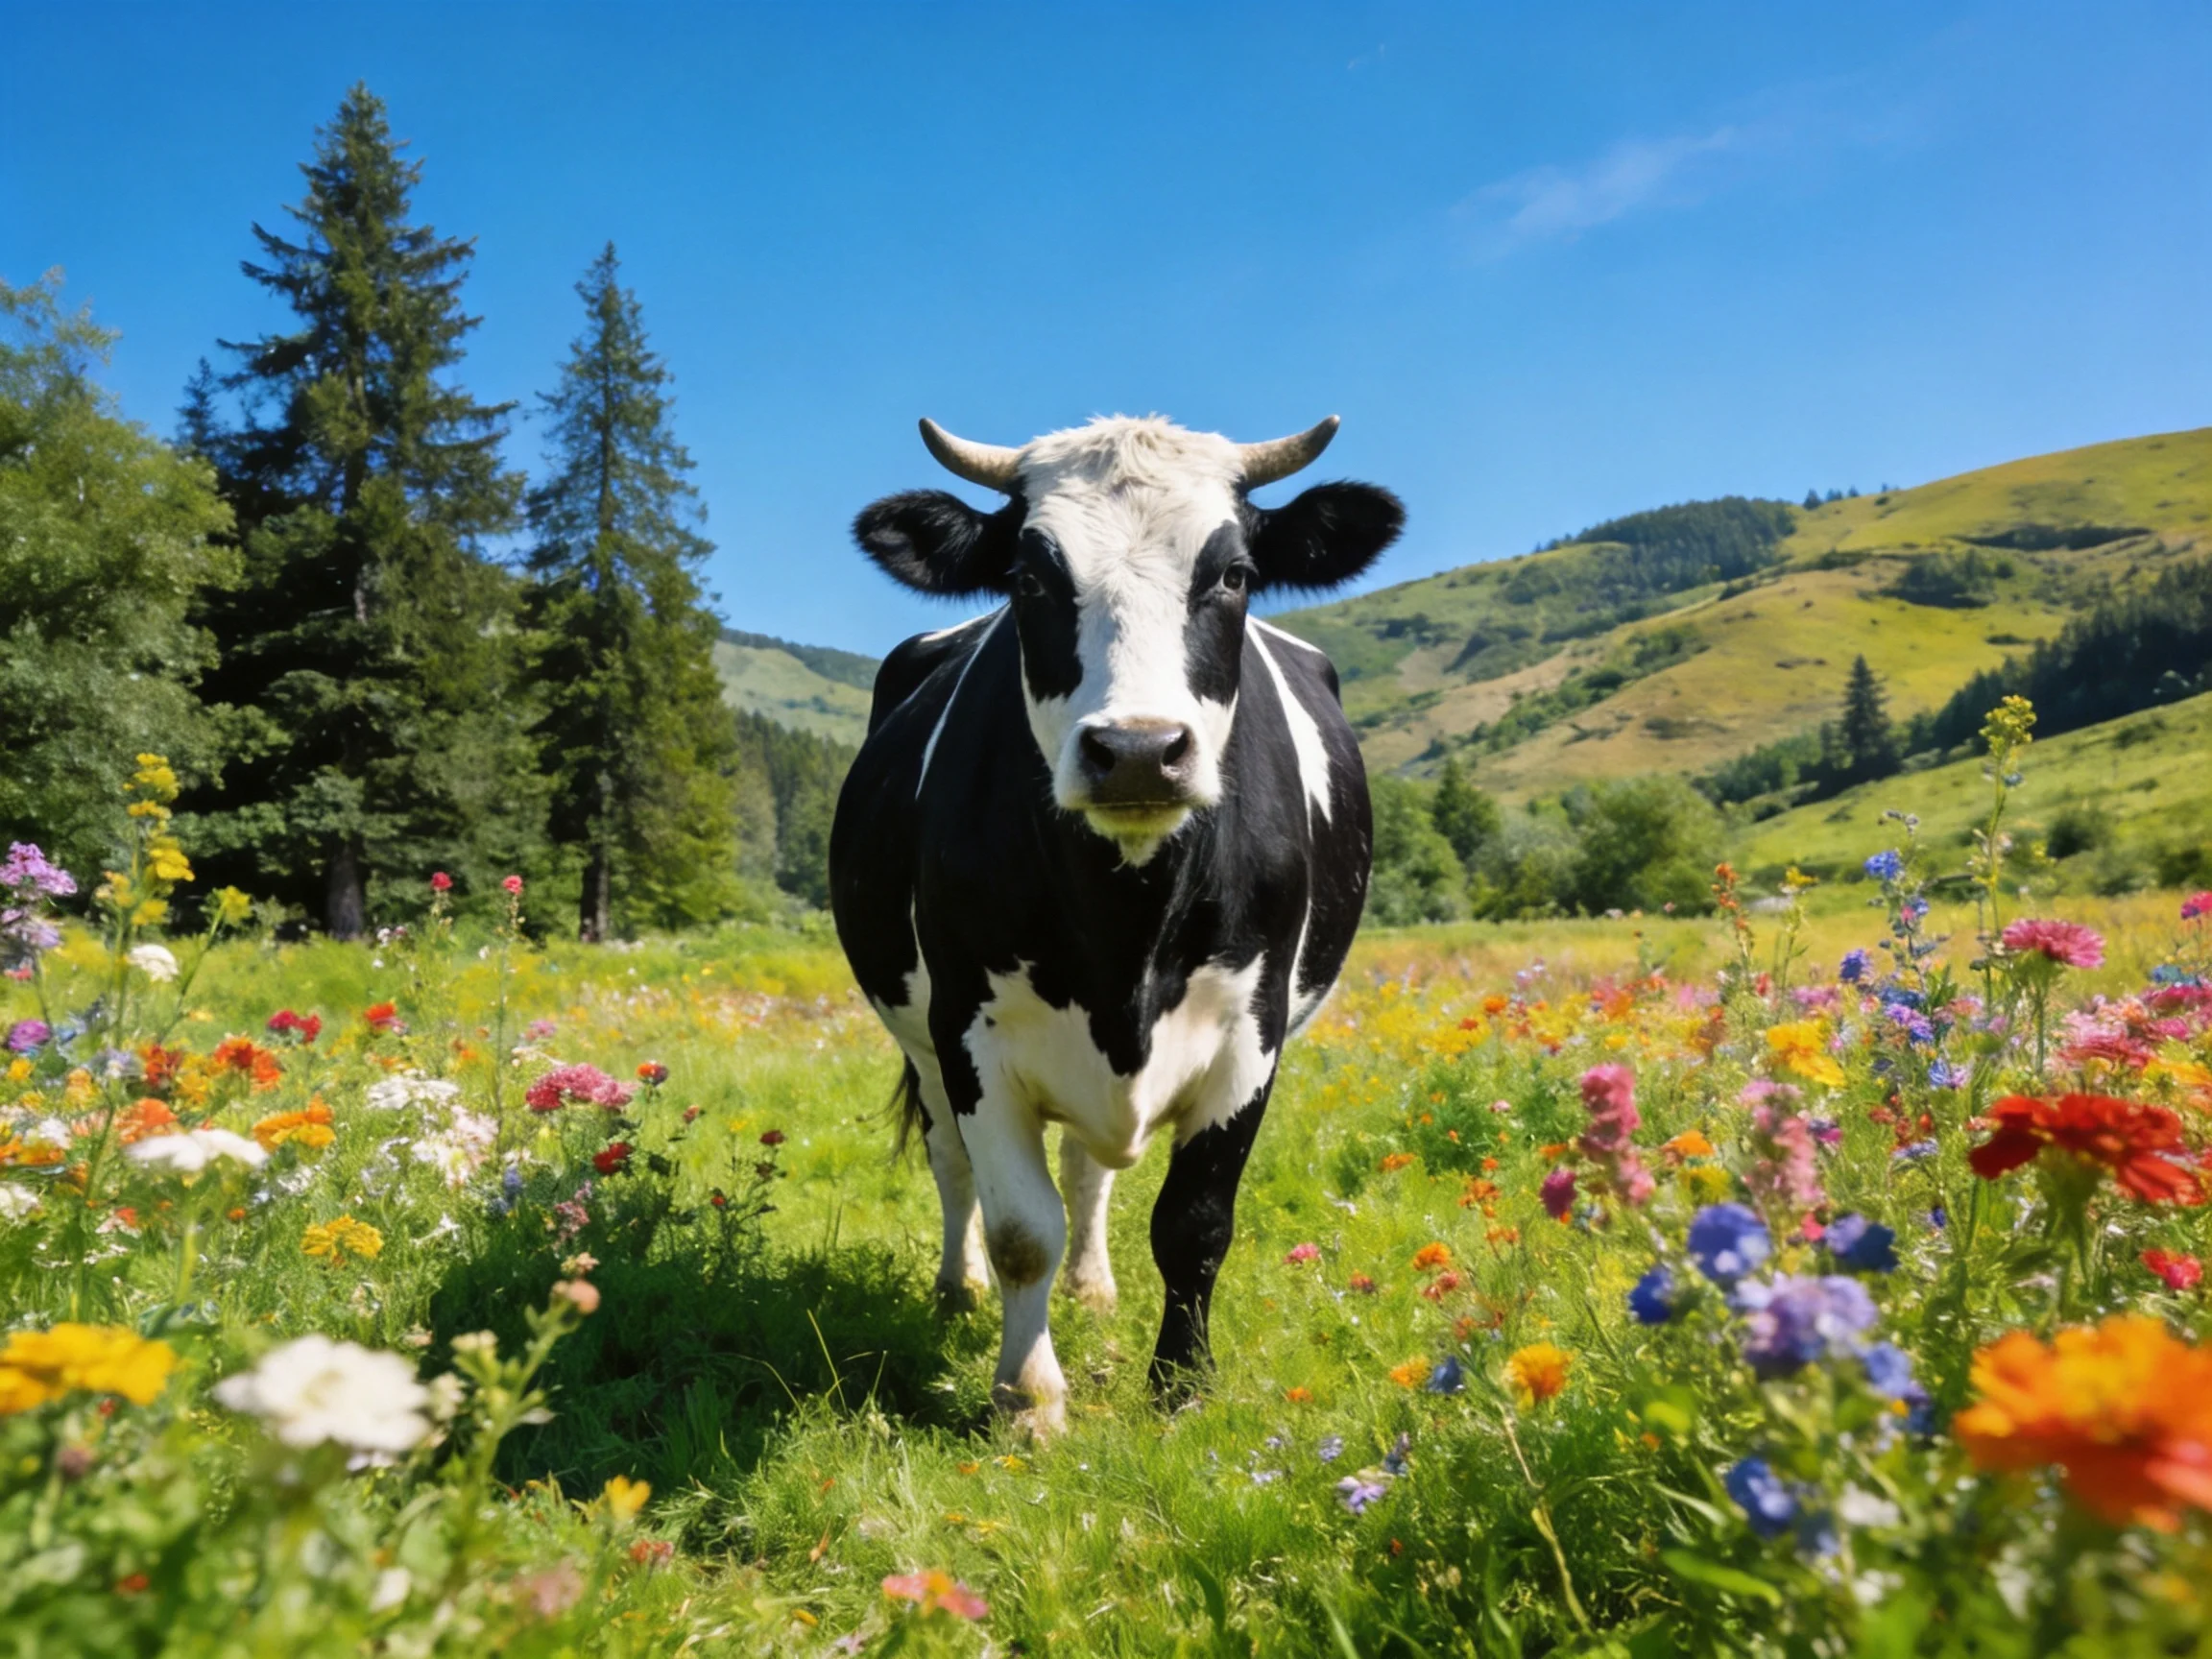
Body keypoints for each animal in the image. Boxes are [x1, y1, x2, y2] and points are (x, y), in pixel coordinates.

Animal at [829, 413, 1402, 1435]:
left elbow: (1193, 1224)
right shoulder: (969, 1032)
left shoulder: (1250, 1033)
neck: (1126, 932)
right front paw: (1028, 1399)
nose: (1137, 750)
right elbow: (1022, 1229)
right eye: (1028, 578)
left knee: (1088, 1169)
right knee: (952, 1164)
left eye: (1233, 574)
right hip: (922, 1042)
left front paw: (1181, 1386)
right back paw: (956, 1291)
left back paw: (1093, 1289)